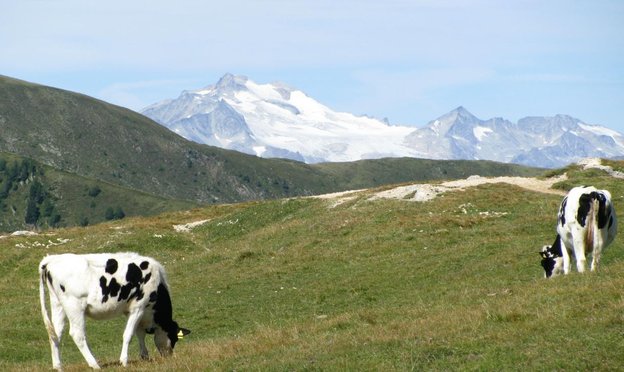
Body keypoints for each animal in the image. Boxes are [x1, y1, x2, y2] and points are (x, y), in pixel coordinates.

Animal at [39, 253, 190, 370]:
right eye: (174, 337)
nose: (169, 356)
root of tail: (52, 259)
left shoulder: (133, 311)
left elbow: (139, 333)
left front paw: (144, 356)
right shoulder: (138, 307)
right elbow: (128, 334)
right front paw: (124, 361)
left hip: (57, 304)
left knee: (55, 333)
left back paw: (58, 366)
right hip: (74, 306)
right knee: (77, 334)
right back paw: (94, 364)